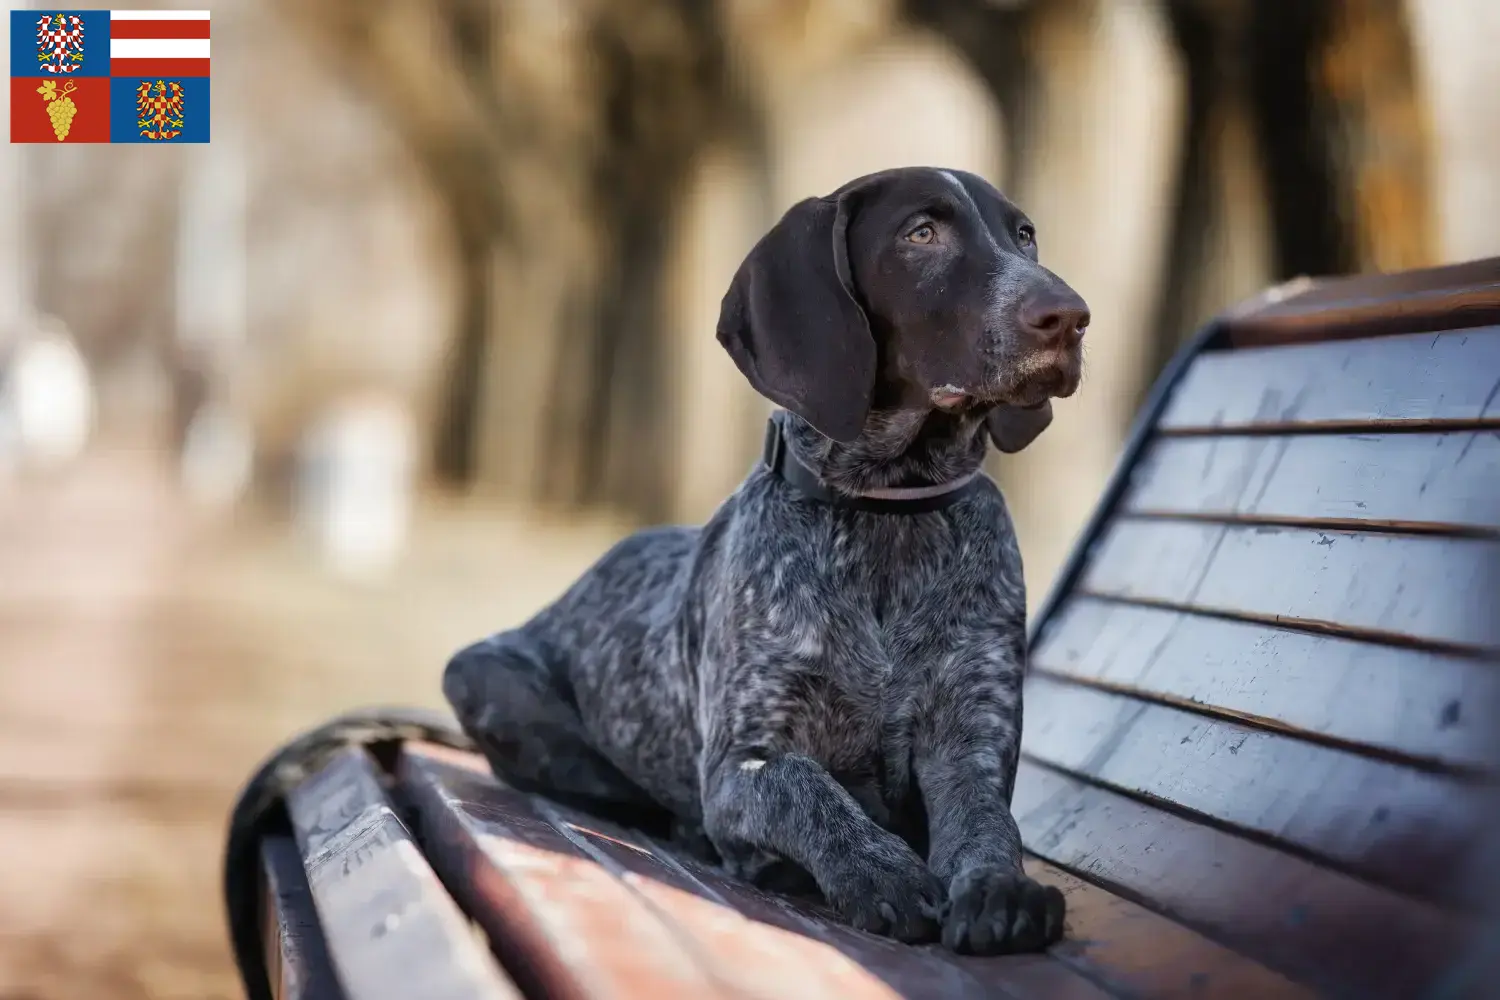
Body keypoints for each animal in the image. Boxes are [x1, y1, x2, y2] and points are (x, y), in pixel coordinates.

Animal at [444, 167, 1092, 959]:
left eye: (1024, 236)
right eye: (921, 233)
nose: (1070, 316)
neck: (889, 509)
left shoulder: (973, 737)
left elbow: (986, 820)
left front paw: (999, 886)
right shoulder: (738, 763)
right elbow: (800, 781)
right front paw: (878, 869)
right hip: (483, 677)